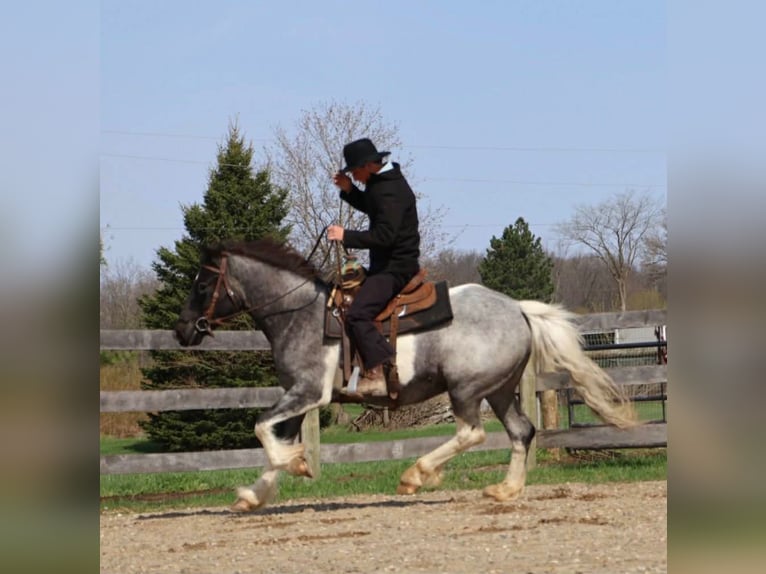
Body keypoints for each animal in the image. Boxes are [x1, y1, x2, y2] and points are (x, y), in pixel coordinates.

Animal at [174, 238, 636, 511]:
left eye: (202, 285)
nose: (182, 330)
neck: (299, 314)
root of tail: (518, 308)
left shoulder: (307, 393)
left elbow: (261, 427)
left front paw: (296, 466)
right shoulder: (296, 397)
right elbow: (275, 439)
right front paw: (255, 494)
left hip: (466, 389)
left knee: (471, 432)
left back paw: (415, 475)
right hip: (500, 390)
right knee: (521, 431)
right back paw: (504, 490)